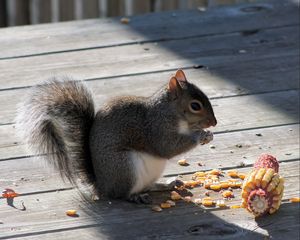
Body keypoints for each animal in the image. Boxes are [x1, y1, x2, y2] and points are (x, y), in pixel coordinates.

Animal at [16, 69, 216, 202]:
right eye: (195, 105)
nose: (214, 122)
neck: (170, 112)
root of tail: (104, 187)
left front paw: (208, 134)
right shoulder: (156, 129)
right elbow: (166, 147)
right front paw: (200, 135)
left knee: (148, 186)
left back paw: (166, 185)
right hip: (124, 167)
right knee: (121, 194)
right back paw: (134, 197)